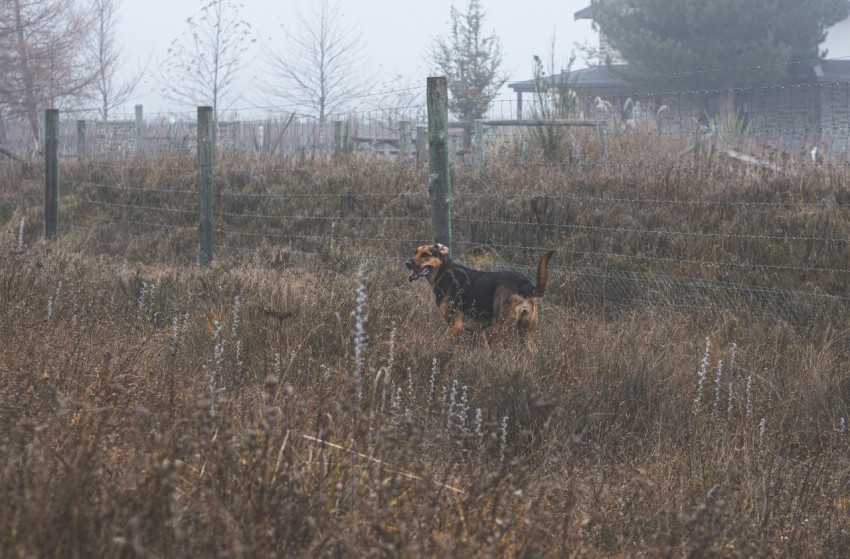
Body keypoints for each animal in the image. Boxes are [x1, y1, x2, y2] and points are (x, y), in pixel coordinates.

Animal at [406, 245, 556, 350]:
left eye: (426, 254)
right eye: (415, 252)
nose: (407, 263)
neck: (444, 271)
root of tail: (525, 284)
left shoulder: (455, 326)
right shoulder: (478, 332)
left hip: (500, 329)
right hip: (526, 333)